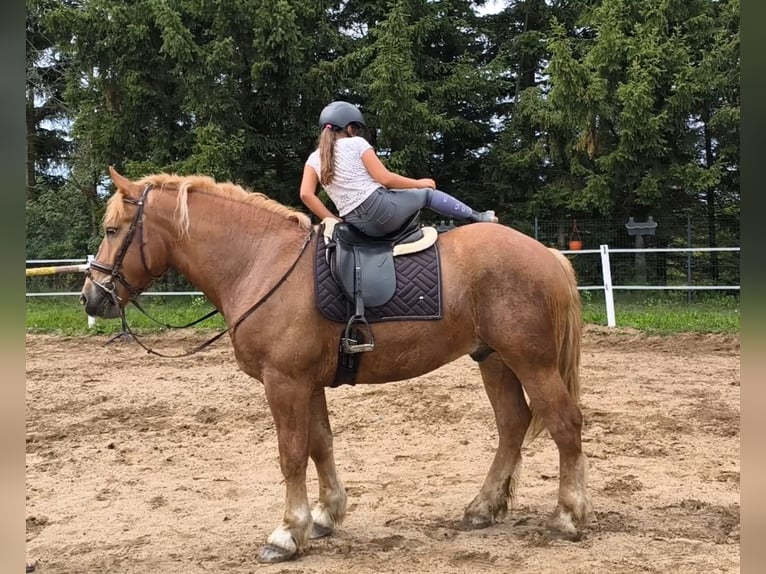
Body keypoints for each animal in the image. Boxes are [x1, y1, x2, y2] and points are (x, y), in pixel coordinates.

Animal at [80, 166, 591, 563]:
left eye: (111, 231)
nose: (91, 297)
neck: (262, 262)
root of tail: (546, 253)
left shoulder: (283, 382)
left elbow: (291, 453)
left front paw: (287, 533)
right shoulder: (308, 383)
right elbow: (320, 445)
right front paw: (325, 515)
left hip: (532, 362)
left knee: (565, 423)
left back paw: (569, 515)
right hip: (494, 360)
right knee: (512, 425)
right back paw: (483, 507)